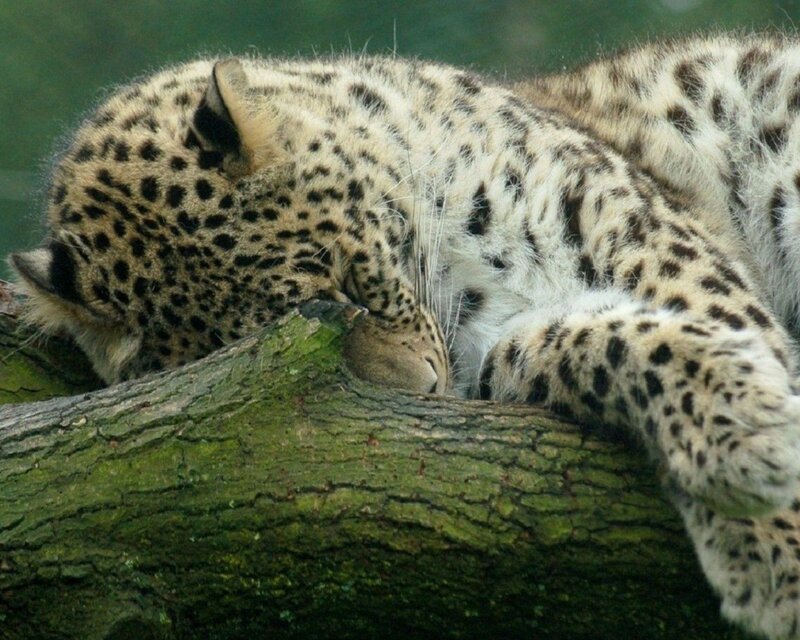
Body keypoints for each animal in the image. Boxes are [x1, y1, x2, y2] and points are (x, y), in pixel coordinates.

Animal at [9, 32, 800, 638]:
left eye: (349, 286)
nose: (424, 392)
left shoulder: (644, 238)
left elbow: (720, 323)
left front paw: (775, 532)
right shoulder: (499, 362)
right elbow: (596, 343)